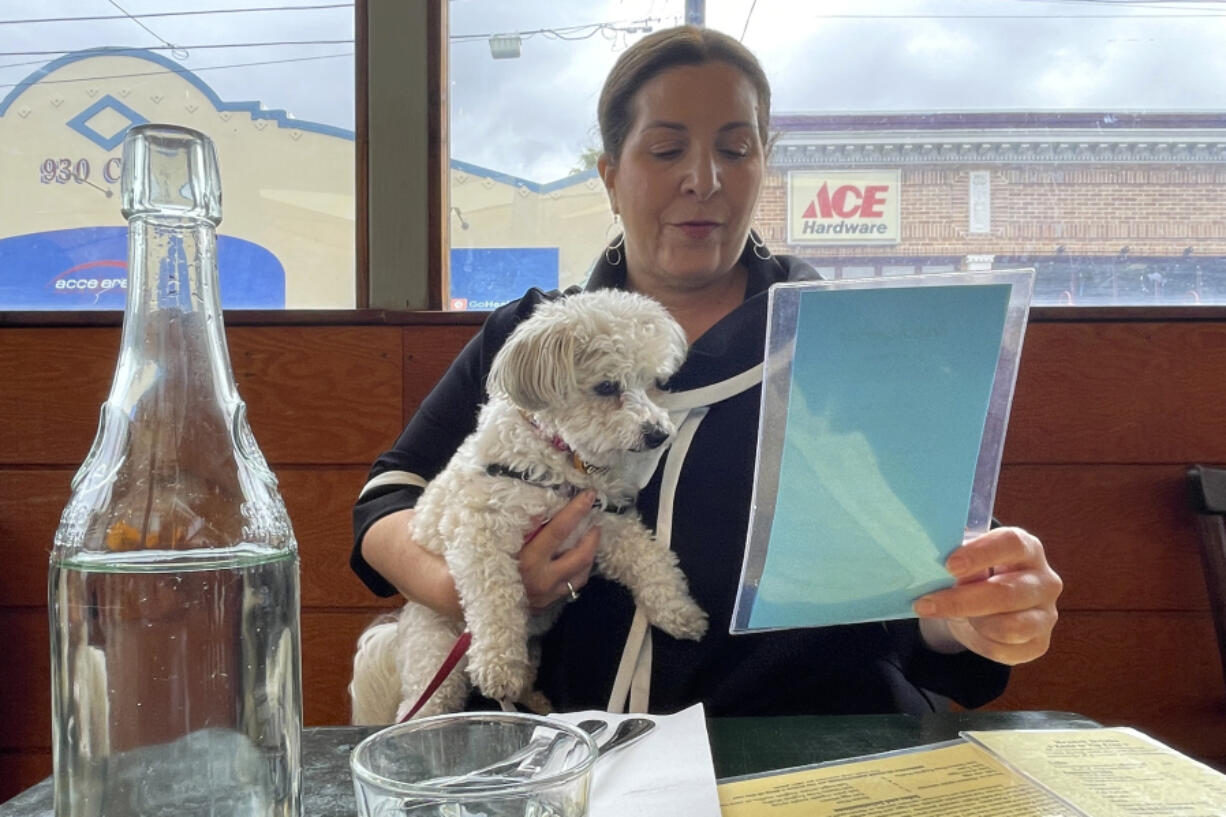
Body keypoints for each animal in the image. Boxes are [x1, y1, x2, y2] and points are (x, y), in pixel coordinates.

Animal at [345, 289, 711, 721]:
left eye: (656, 383)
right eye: (606, 387)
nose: (658, 434)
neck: (564, 461)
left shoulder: (608, 526)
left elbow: (651, 560)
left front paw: (680, 611)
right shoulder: (480, 533)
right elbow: (496, 599)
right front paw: (497, 665)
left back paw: (535, 701)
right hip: (436, 652)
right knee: (425, 701)